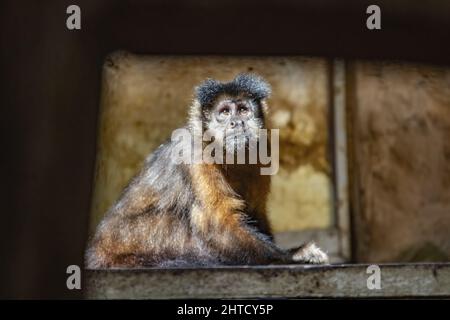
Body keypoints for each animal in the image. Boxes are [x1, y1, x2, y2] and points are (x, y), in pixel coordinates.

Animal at [86, 72, 328, 268]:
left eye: (243, 110)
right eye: (225, 112)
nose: (236, 122)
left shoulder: (262, 150)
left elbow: (255, 213)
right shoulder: (193, 152)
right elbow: (218, 225)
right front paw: (293, 255)